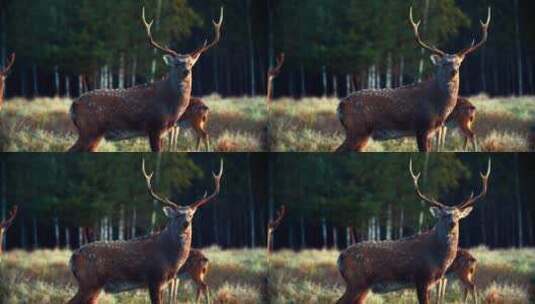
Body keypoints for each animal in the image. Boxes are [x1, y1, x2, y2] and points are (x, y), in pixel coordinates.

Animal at [67, 159, 224, 304]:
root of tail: (72, 258)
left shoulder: (164, 283)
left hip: (94, 286)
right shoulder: (154, 279)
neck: (170, 258)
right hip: (90, 283)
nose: (186, 223)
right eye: (178, 215)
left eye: (191, 215)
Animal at [69, 5, 224, 151]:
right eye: (177, 63)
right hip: (90, 131)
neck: (171, 107)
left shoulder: (165, 130)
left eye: (191, 63)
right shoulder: (154, 127)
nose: (186, 71)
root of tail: (73, 105)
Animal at [338, 7, 492, 152]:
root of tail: (340, 106)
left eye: (458, 63)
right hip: (358, 130)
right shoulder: (422, 128)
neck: (438, 106)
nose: (453, 71)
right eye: (444, 63)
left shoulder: (433, 131)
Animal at [338, 159, 492, 304]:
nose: (452, 223)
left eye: (458, 216)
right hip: (356, 282)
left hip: (363, 287)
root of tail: (340, 257)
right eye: (443, 215)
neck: (437, 258)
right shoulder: (422, 278)